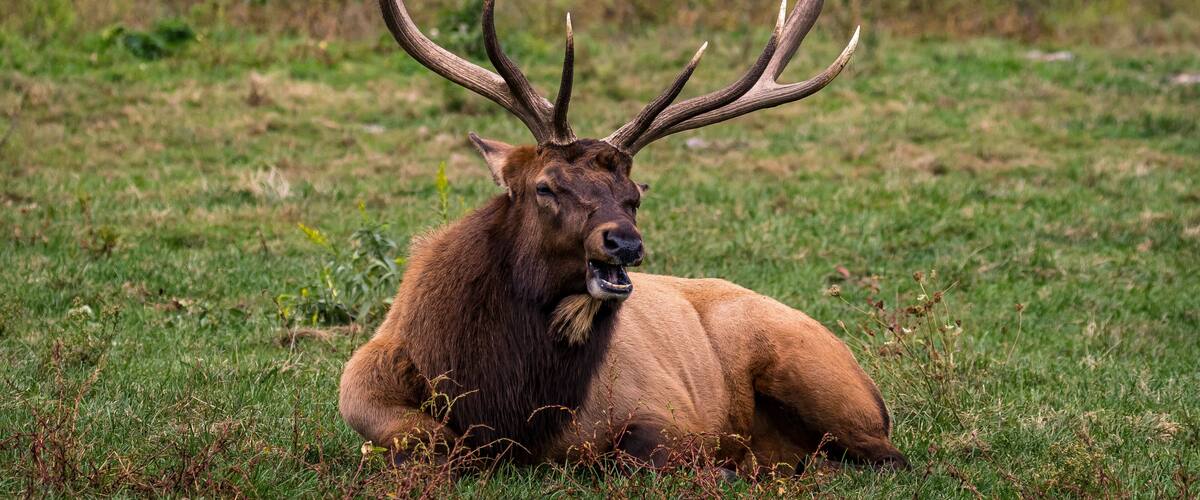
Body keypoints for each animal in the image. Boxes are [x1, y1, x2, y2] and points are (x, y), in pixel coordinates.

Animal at [339, 0, 908, 474]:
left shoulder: (666, 409)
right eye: (545, 186)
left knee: (885, 455)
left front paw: (724, 466)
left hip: (811, 372)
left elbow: (637, 450)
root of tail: (870, 386)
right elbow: (420, 440)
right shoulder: (362, 385)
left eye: (633, 195)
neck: (507, 407)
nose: (625, 244)